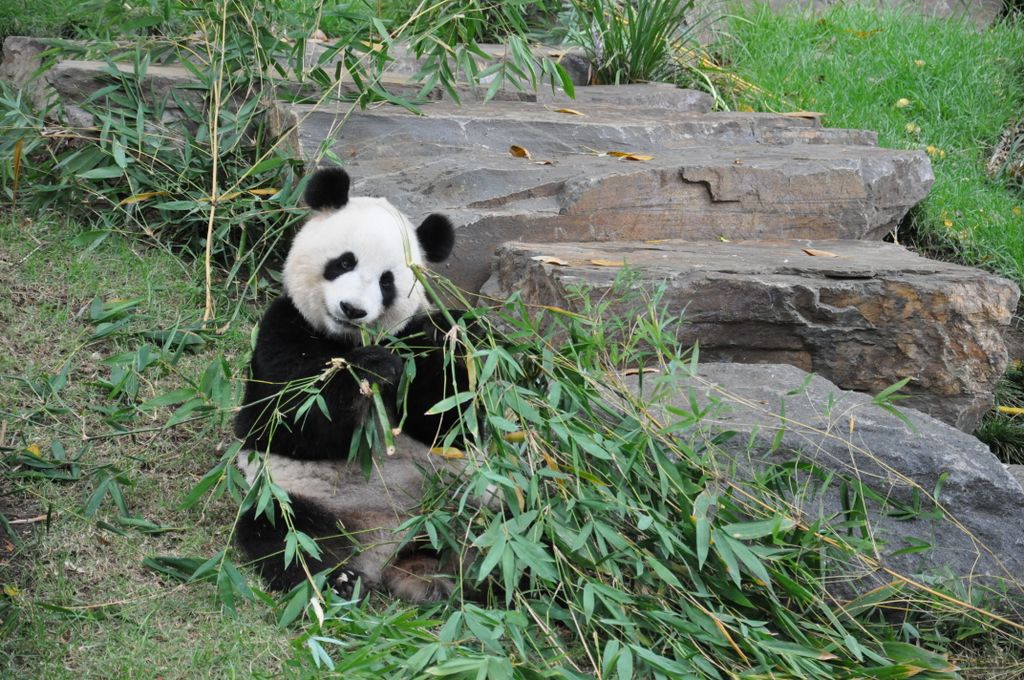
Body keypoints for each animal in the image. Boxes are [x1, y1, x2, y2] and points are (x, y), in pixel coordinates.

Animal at [233, 167, 478, 603]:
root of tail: (387, 548)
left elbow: (446, 424)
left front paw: (447, 338)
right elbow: (283, 418)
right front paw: (371, 369)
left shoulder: (409, 340)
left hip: (464, 497)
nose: (352, 310)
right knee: (285, 537)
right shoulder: (283, 329)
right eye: (344, 262)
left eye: (387, 282)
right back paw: (339, 580)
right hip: (290, 497)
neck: (345, 341)